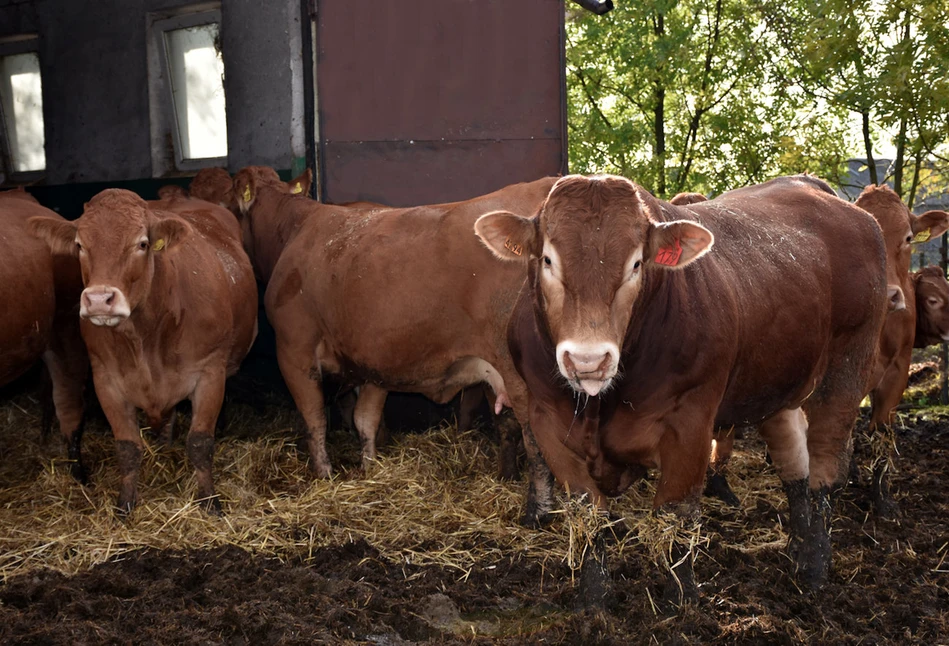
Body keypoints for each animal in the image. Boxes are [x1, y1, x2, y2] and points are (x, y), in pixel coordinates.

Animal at [28, 189, 258, 516]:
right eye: (80, 245)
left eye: (142, 244)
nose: (99, 299)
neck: (146, 338)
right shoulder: (106, 380)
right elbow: (127, 447)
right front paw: (124, 505)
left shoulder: (210, 373)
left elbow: (200, 443)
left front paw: (210, 502)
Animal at [231, 168, 556, 506]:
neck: (295, 230)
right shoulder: (374, 362)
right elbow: (365, 418)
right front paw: (369, 467)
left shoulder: (294, 349)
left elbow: (315, 418)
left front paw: (324, 474)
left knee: (539, 442)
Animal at [478, 173, 884, 596]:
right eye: (547, 260)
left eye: (637, 263)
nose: (588, 360)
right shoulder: (547, 422)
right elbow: (587, 514)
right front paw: (592, 599)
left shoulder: (690, 424)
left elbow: (676, 516)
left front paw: (683, 598)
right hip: (778, 384)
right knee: (794, 464)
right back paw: (797, 548)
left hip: (847, 370)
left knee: (825, 468)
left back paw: (815, 566)